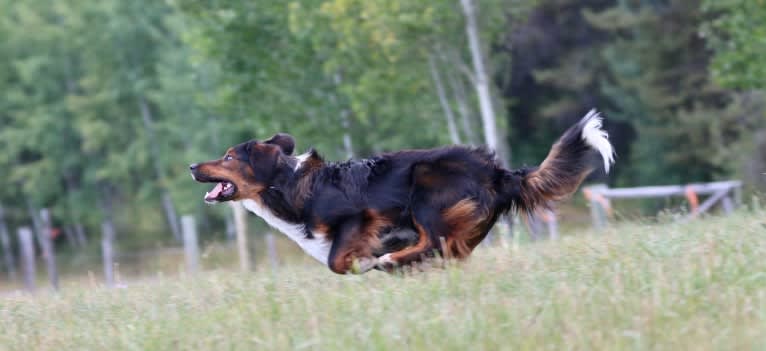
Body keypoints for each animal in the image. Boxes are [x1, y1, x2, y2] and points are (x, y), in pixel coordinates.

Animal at [194, 110, 616, 276]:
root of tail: (497, 172)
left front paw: (369, 261)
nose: (192, 167)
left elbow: (336, 260)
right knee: (444, 247)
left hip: (426, 184)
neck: (289, 185)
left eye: (228, 156)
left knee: (436, 241)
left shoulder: (359, 216)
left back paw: (392, 261)